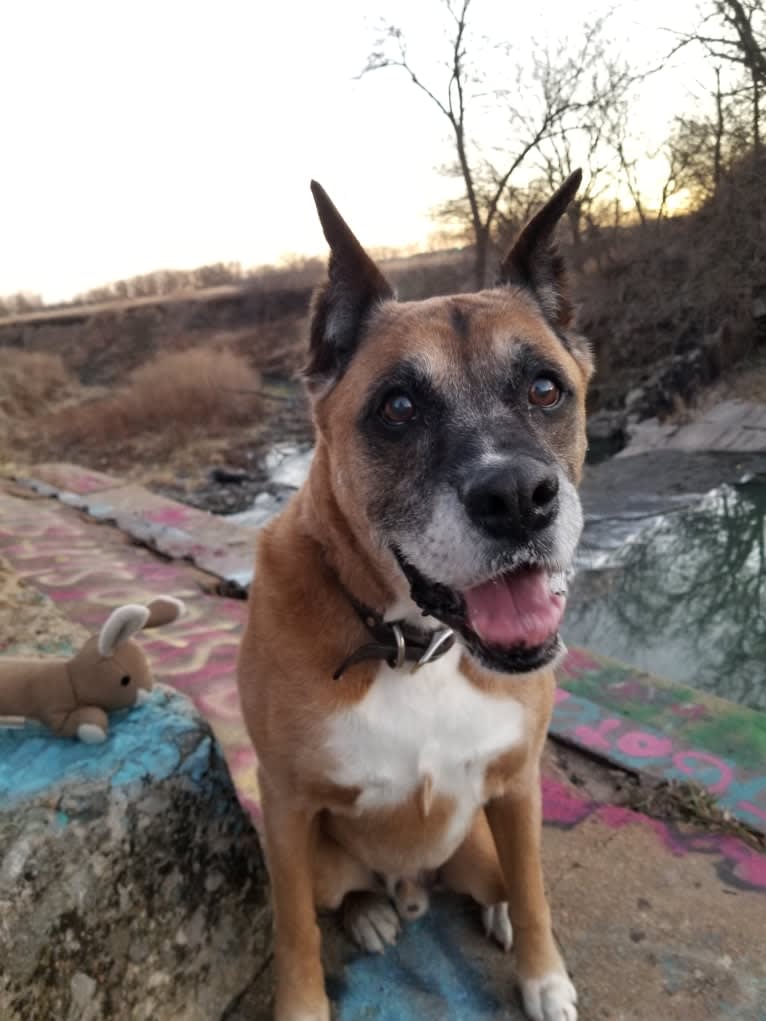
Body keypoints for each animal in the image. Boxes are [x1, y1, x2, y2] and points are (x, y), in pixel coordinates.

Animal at [238, 169, 592, 1021]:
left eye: (546, 388)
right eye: (397, 407)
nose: (516, 496)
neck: (413, 643)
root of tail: (412, 885)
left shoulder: (518, 786)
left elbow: (535, 889)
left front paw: (543, 976)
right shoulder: (286, 808)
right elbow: (294, 929)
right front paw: (302, 1004)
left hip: (483, 836)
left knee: (501, 878)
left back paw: (493, 909)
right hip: (321, 855)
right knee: (337, 895)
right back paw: (371, 910)